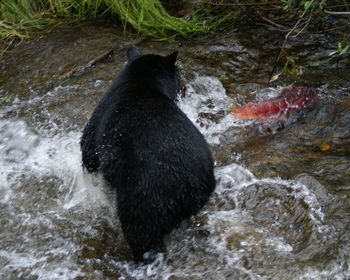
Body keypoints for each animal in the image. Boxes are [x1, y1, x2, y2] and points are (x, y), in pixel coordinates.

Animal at [80, 46, 215, 262]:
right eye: (179, 75)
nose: (185, 87)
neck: (141, 82)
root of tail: (187, 185)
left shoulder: (96, 127)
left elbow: (88, 152)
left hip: (143, 200)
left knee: (142, 236)